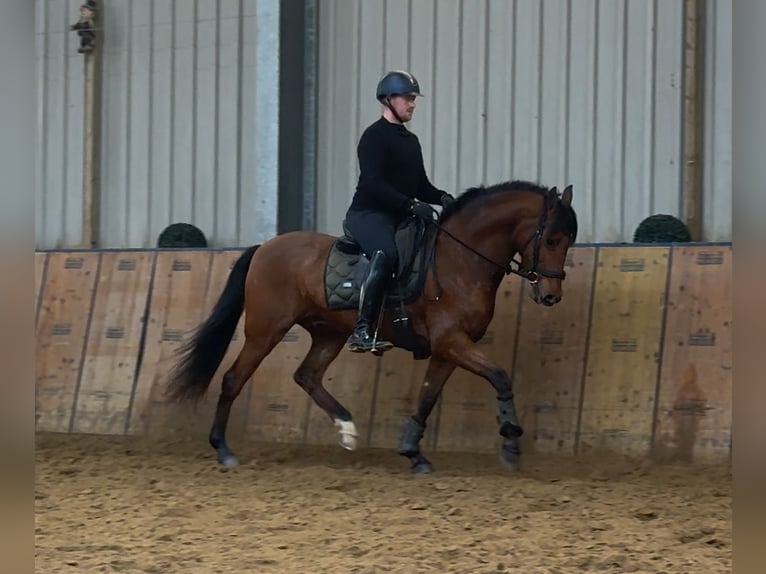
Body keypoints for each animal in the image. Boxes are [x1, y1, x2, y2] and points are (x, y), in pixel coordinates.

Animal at [164, 180, 578, 473]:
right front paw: (510, 441)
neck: (460, 259)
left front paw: (413, 453)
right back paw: (223, 449)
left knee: (307, 376)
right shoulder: (452, 341)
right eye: (551, 239)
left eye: (568, 241)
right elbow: (500, 376)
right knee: (234, 378)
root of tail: (264, 248)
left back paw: (347, 429)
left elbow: (427, 396)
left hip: (329, 333)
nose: (551, 296)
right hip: (266, 330)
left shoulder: (449, 347)